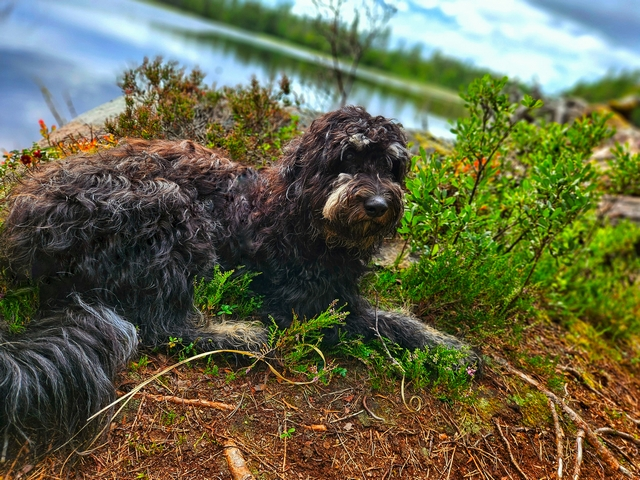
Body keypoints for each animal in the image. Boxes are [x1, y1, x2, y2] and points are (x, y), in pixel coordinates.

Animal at [0, 107, 478, 460]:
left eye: (391, 166)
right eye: (346, 159)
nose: (378, 204)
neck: (301, 213)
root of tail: (28, 238)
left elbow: (398, 319)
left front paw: (451, 347)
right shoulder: (302, 307)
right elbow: (382, 324)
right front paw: (450, 350)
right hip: (166, 205)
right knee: (162, 326)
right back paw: (240, 336)